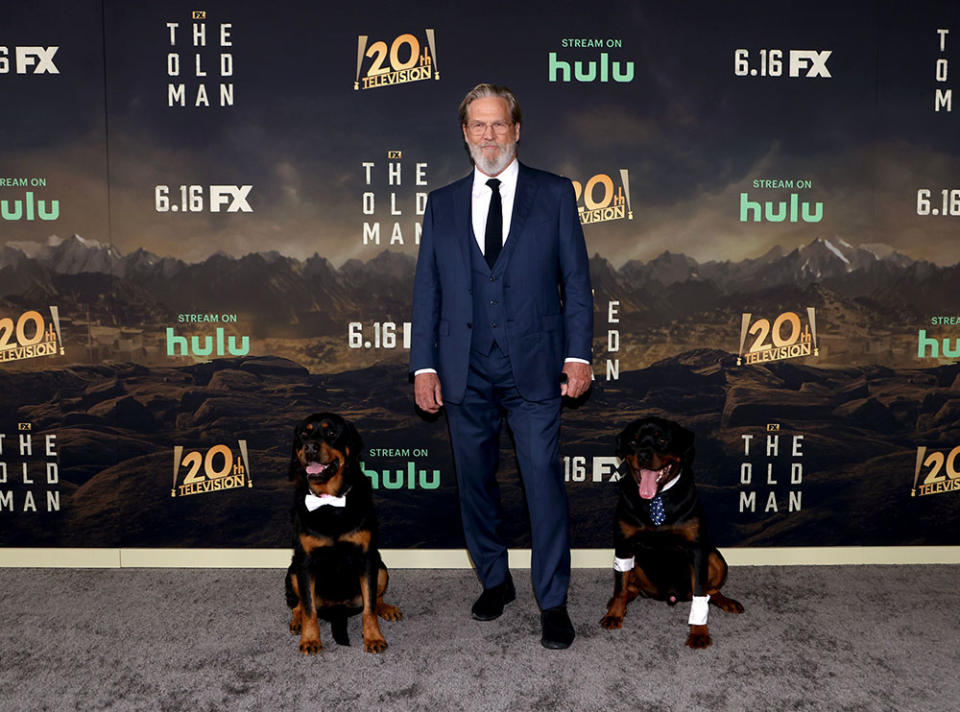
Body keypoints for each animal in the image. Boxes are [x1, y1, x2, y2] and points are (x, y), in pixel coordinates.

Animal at [282, 412, 402, 656]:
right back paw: (297, 622)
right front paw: (310, 639)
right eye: (304, 434)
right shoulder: (305, 562)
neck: (330, 502)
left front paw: (373, 637)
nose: (310, 447)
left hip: (381, 566)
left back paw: (387, 608)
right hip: (293, 571)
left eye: (331, 432)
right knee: (298, 604)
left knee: (376, 598)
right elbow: (309, 608)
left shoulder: (366, 558)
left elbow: (369, 607)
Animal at [600, 414, 744, 648]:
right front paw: (615, 613)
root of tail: (674, 596)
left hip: (715, 557)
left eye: (662, 441)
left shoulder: (696, 550)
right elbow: (620, 585)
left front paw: (699, 632)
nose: (643, 454)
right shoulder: (623, 544)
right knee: (630, 587)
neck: (657, 499)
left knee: (710, 590)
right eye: (633, 442)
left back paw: (726, 601)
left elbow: (700, 593)